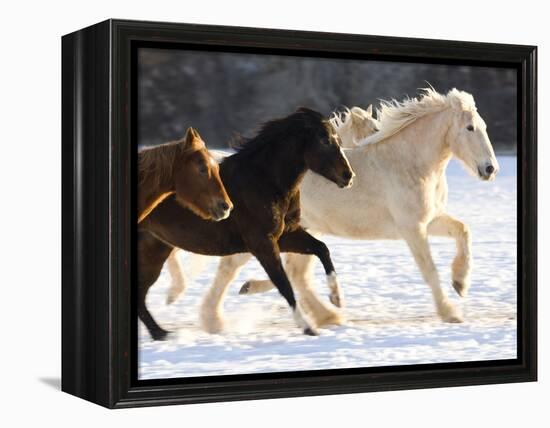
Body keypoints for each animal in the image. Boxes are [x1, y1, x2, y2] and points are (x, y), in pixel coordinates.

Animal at [140, 108, 356, 342]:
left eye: (337, 139)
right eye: (324, 140)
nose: (348, 176)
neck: (265, 181)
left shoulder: (286, 235)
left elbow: (321, 249)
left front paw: (336, 298)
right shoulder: (262, 243)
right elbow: (284, 284)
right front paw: (308, 327)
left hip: (155, 252)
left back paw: (161, 333)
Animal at [170, 88, 502, 332]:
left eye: (484, 127)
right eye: (470, 127)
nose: (490, 169)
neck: (409, 163)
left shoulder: (428, 221)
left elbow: (463, 231)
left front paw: (460, 283)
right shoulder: (412, 229)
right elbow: (429, 270)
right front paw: (450, 312)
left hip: (298, 231)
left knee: (296, 274)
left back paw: (325, 314)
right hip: (264, 235)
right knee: (233, 268)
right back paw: (215, 320)